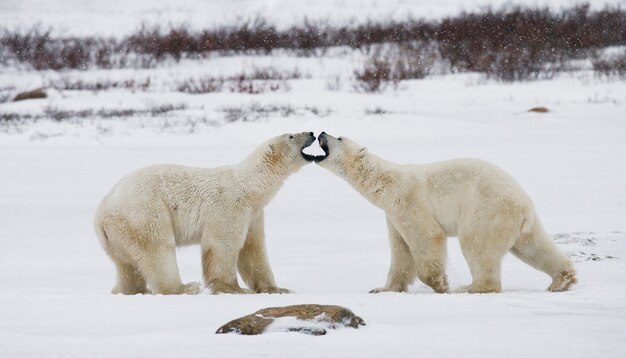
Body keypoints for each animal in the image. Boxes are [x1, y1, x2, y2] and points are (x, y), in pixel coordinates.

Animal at [94, 131, 316, 294]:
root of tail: (102, 211)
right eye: (291, 136)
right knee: (157, 250)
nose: (312, 132)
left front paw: (277, 289)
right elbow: (222, 244)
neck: (249, 186)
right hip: (143, 212)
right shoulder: (229, 205)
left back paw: (130, 290)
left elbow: (253, 249)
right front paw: (232, 288)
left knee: (126, 266)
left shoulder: (253, 214)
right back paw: (184, 288)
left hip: (117, 234)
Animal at [314, 132, 572, 294]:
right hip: (520, 221)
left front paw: (440, 284)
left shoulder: (408, 200)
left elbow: (426, 236)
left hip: (487, 210)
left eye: (339, 137)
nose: (322, 132)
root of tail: (523, 205)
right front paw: (382, 288)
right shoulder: (392, 214)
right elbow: (400, 251)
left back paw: (470, 287)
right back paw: (562, 280)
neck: (387, 182)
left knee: (477, 246)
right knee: (533, 247)